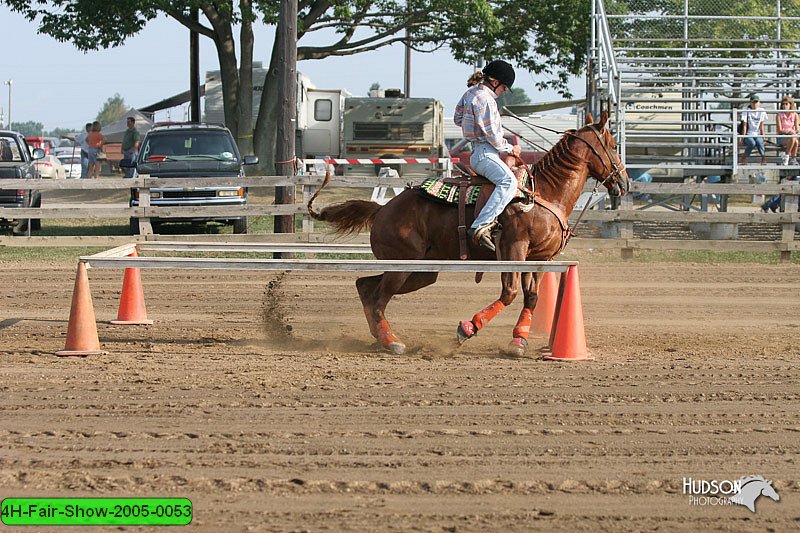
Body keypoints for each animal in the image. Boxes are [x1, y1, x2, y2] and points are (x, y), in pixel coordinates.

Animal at [310, 113, 628, 354]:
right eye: (613, 145)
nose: (624, 182)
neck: (544, 193)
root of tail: (382, 209)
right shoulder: (513, 249)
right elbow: (510, 293)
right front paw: (467, 329)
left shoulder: (541, 259)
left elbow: (532, 298)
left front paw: (518, 341)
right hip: (401, 267)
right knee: (377, 298)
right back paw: (392, 341)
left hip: (420, 272)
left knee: (365, 285)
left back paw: (380, 337)